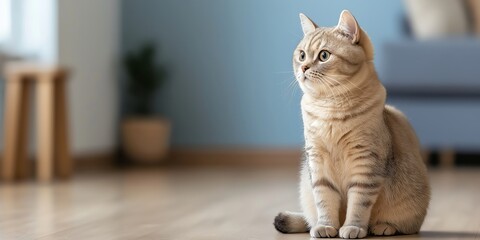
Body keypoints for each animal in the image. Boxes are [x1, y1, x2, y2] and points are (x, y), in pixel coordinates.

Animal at [274, 10, 432, 238]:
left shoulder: (365, 166)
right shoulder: (318, 164)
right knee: (309, 218)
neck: (330, 108)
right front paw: (326, 226)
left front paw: (353, 228)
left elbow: (358, 205)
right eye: (302, 55)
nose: (303, 67)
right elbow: (324, 201)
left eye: (323, 56)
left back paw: (383, 227)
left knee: (405, 226)